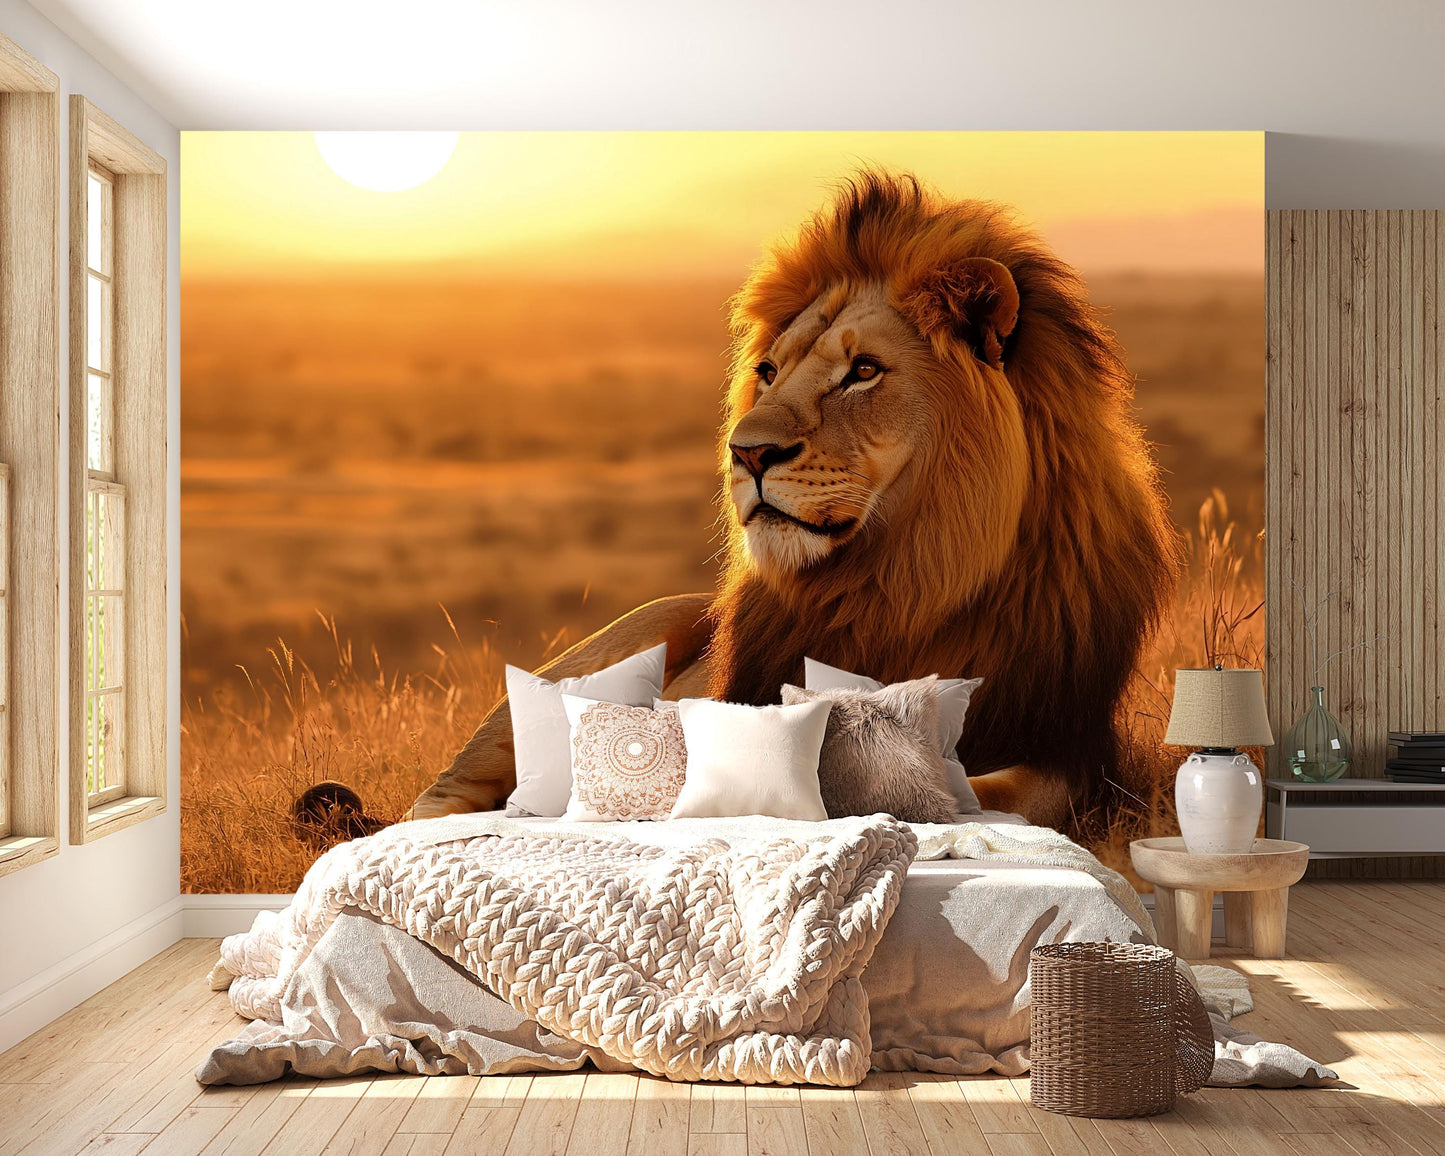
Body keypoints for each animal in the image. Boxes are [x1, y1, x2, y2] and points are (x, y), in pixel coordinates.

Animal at [406, 169, 1182, 831]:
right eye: (770, 371)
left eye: (862, 371)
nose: (745, 453)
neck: (897, 583)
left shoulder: (1074, 746)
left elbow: (1004, 789)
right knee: (442, 797)